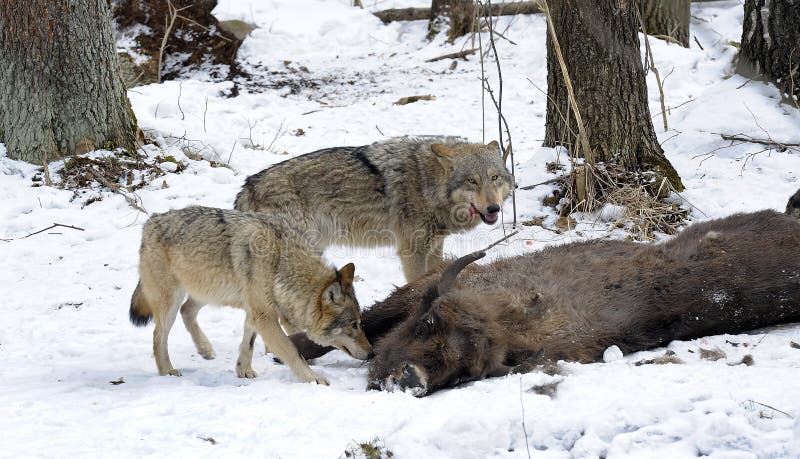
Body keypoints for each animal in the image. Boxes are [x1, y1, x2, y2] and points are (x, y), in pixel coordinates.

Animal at [129, 206, 372, 384]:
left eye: (359, 323)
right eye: (353, 325)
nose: (371, 354)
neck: (280, 263)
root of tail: (151, 221)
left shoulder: (255, 311)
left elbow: (249, 341)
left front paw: (243, 370)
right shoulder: (264, 315)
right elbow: (292, 351)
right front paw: (313, 379)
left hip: (207, 293)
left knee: (186, 310)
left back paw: (205, 349)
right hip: (171, 302)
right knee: (159, 336)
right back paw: (167, 370)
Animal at [234, 137, 516, 280]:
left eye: (494, 178)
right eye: (472, 181)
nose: (494, 208)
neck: (427, 183)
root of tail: (247, 187)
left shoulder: (435, 246)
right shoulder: (411, 251)